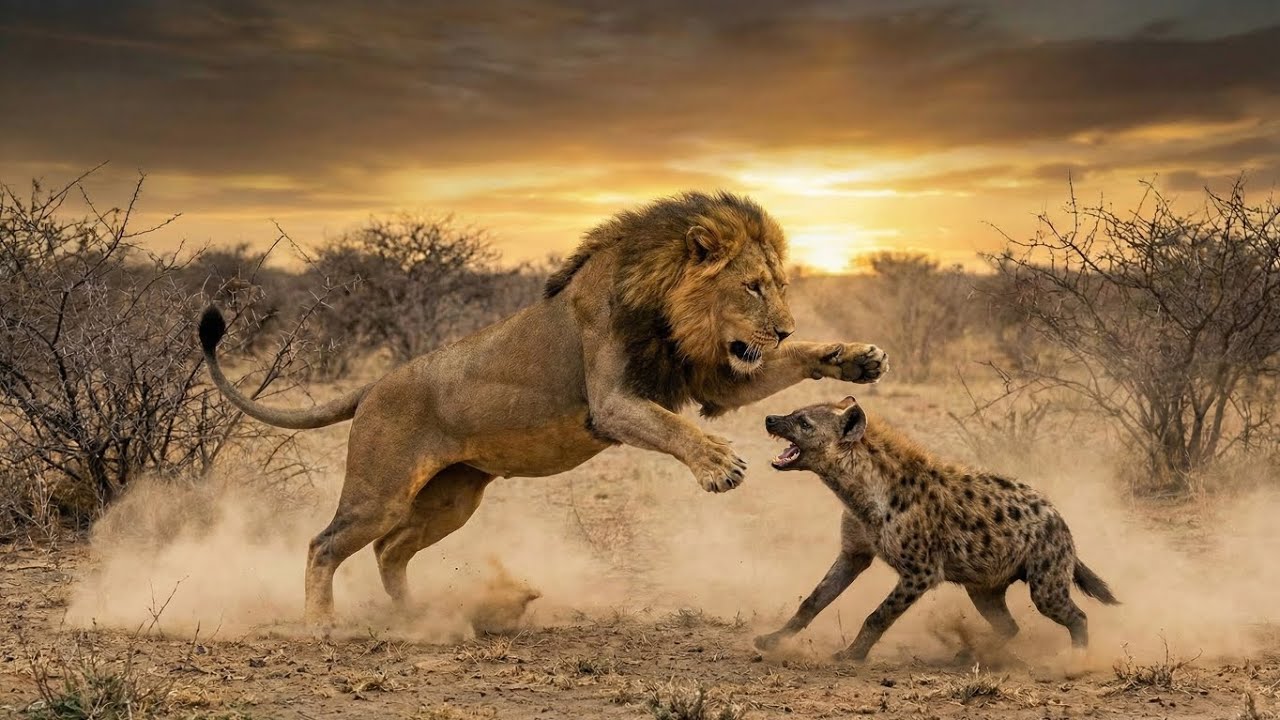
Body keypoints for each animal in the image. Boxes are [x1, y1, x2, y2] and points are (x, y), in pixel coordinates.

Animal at [199, 191, 889, 627]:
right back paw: (320, 627)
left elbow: (792, 362)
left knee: (389, 552)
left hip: (453, 498)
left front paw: (856, 358)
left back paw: (418, 616)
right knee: (324, 544)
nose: (782, 325)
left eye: (780, 287)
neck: (666, 306)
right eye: (752, 286)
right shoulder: (611, 404)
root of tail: (371, 387)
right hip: (382, 490)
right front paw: (718, 465)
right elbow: (670, 425)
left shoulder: (716, 379)